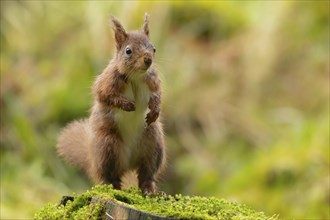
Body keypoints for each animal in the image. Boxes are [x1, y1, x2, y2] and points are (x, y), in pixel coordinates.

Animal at [57, 14, 165, 195]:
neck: (135, 76)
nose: (148, 60)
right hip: (108, 147)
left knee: (146, 174)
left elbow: (157, 96)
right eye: (128, 51)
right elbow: (104, 96)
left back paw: (151, 190)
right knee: (109, 176)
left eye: (154, 48)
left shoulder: (152, 81)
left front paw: (155, 112)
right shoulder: (107, 82)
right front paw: (126, 105)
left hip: (153, 144)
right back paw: (114, 188)